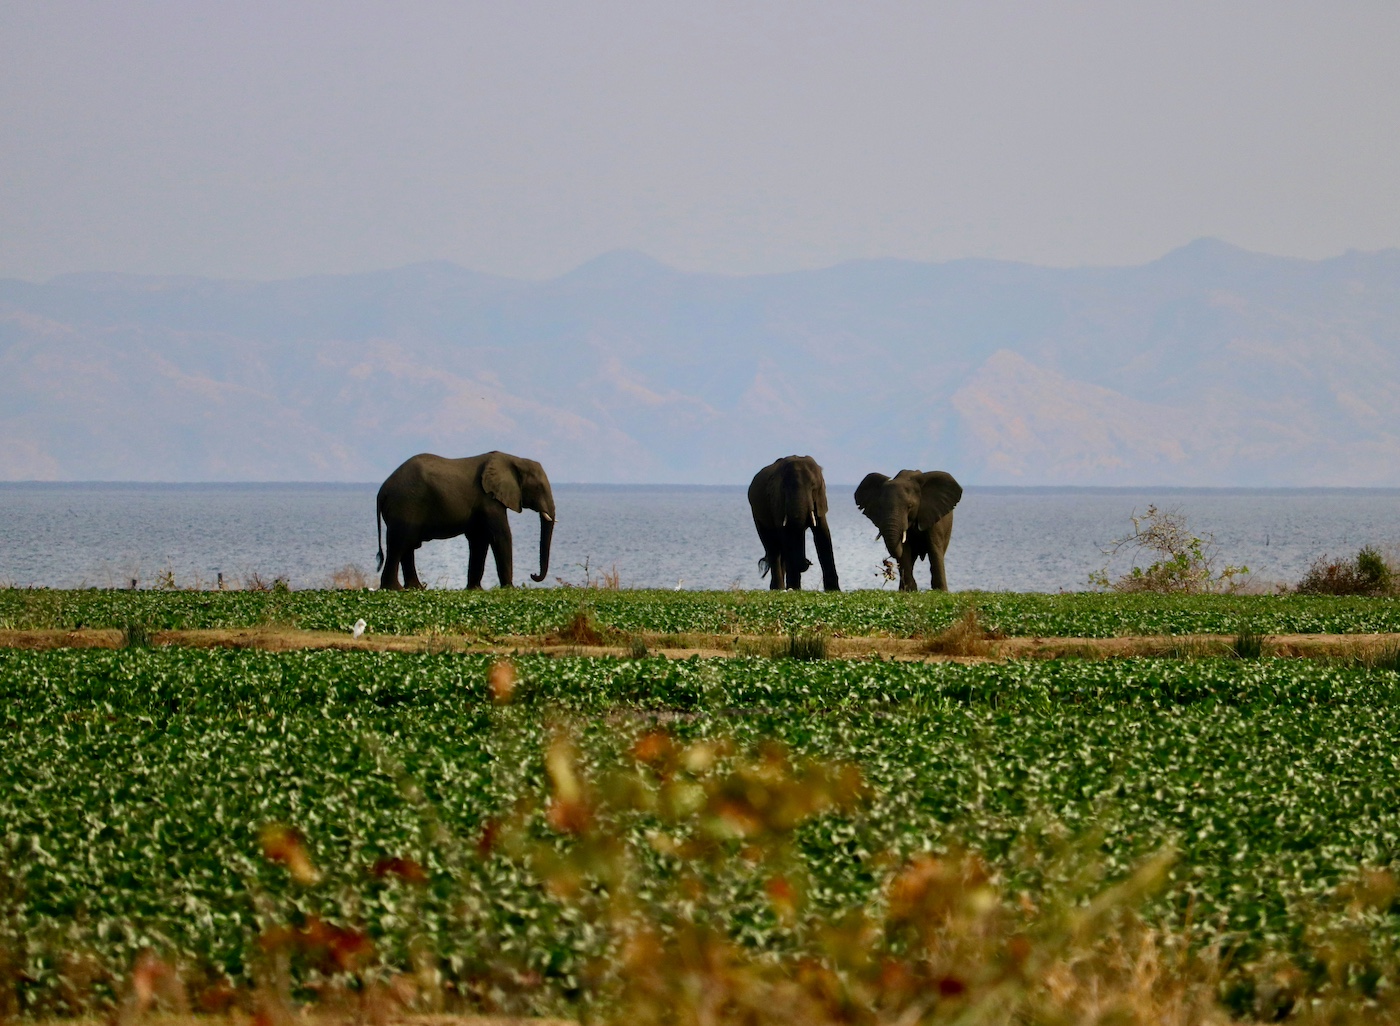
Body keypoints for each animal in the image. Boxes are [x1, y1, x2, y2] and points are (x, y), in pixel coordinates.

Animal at [375, 450, 554, 587]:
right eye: (538, 487)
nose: (533, 574)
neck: (514, 459)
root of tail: (382, 491)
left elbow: (479, 539)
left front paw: (475, 589)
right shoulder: (489, 499)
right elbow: (500, 536)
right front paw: (510, 589)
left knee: (407, 546)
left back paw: (415, 588)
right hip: (405, 504)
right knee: (399, 544)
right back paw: (395, 589)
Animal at [744, 453, 840, 587]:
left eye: (813, 487)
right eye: (784, 488)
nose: (808, 561)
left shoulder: (820, 501)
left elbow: (823, 535)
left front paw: (834, 589)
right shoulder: (776, 501)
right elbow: (786, 536)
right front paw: (794, 588)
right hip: (757, 513)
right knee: (773, 547)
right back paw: (779, 588)